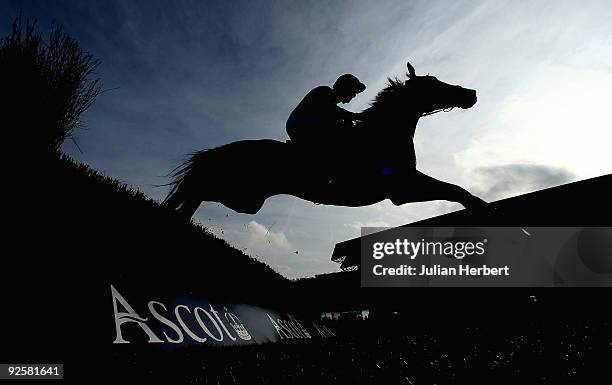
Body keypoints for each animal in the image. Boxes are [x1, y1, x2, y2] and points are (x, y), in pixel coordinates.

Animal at [163, 60, 488, 219]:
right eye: (432, 83)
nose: (470, 93)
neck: (382, 136)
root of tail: (224, 150)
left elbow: (456, 190)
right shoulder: (402, 188)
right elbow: (455, 190)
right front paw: (483, 209)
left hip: (244, 199)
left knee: (190, 200)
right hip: (237, 193)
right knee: (194, 193)